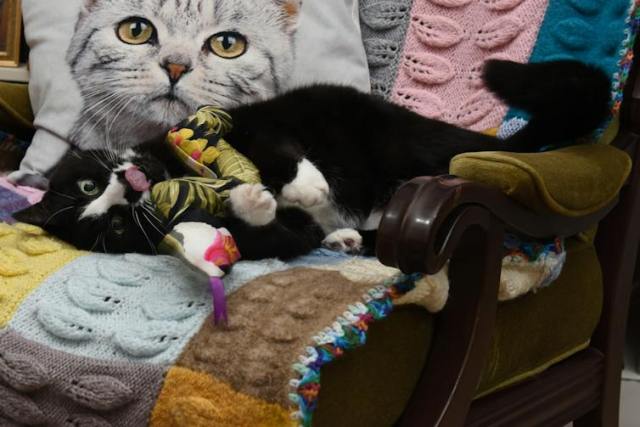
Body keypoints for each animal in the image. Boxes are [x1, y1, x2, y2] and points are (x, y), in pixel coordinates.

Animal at [15, 60, 612, 260]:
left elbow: (276, 151)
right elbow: (278, 230)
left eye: (88, 185)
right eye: (112, 224)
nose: (130, 184)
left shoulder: (248, 125)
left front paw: (302, 187)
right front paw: (257, 201)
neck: (177, 171)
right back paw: (345, 238)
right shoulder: (267, 239)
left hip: (396, 140)